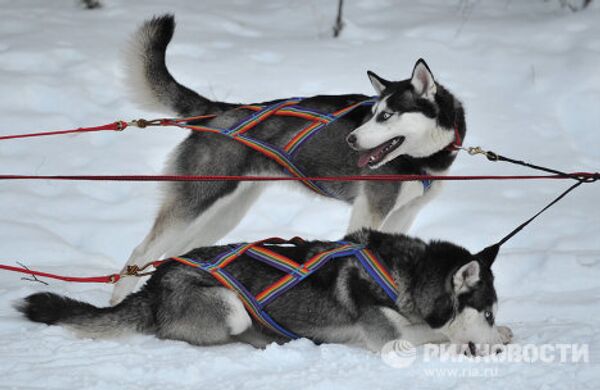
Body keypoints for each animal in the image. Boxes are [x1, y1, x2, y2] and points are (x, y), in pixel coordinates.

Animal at [16, 229, 510, 356]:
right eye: (484, 311)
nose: (500, 349)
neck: (399, 278)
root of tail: (156, 281)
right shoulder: (390, 340)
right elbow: (430, 339)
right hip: (230, 306)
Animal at [112, 16, 468, 304]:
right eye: (374, 114)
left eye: (387, 115)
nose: (351, 140)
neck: (422, 159)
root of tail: (220, 109)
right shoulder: (370, 209)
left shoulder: (405, 213)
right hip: (197, 201)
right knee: (142, 250)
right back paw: (117, 299)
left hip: (227, 212)